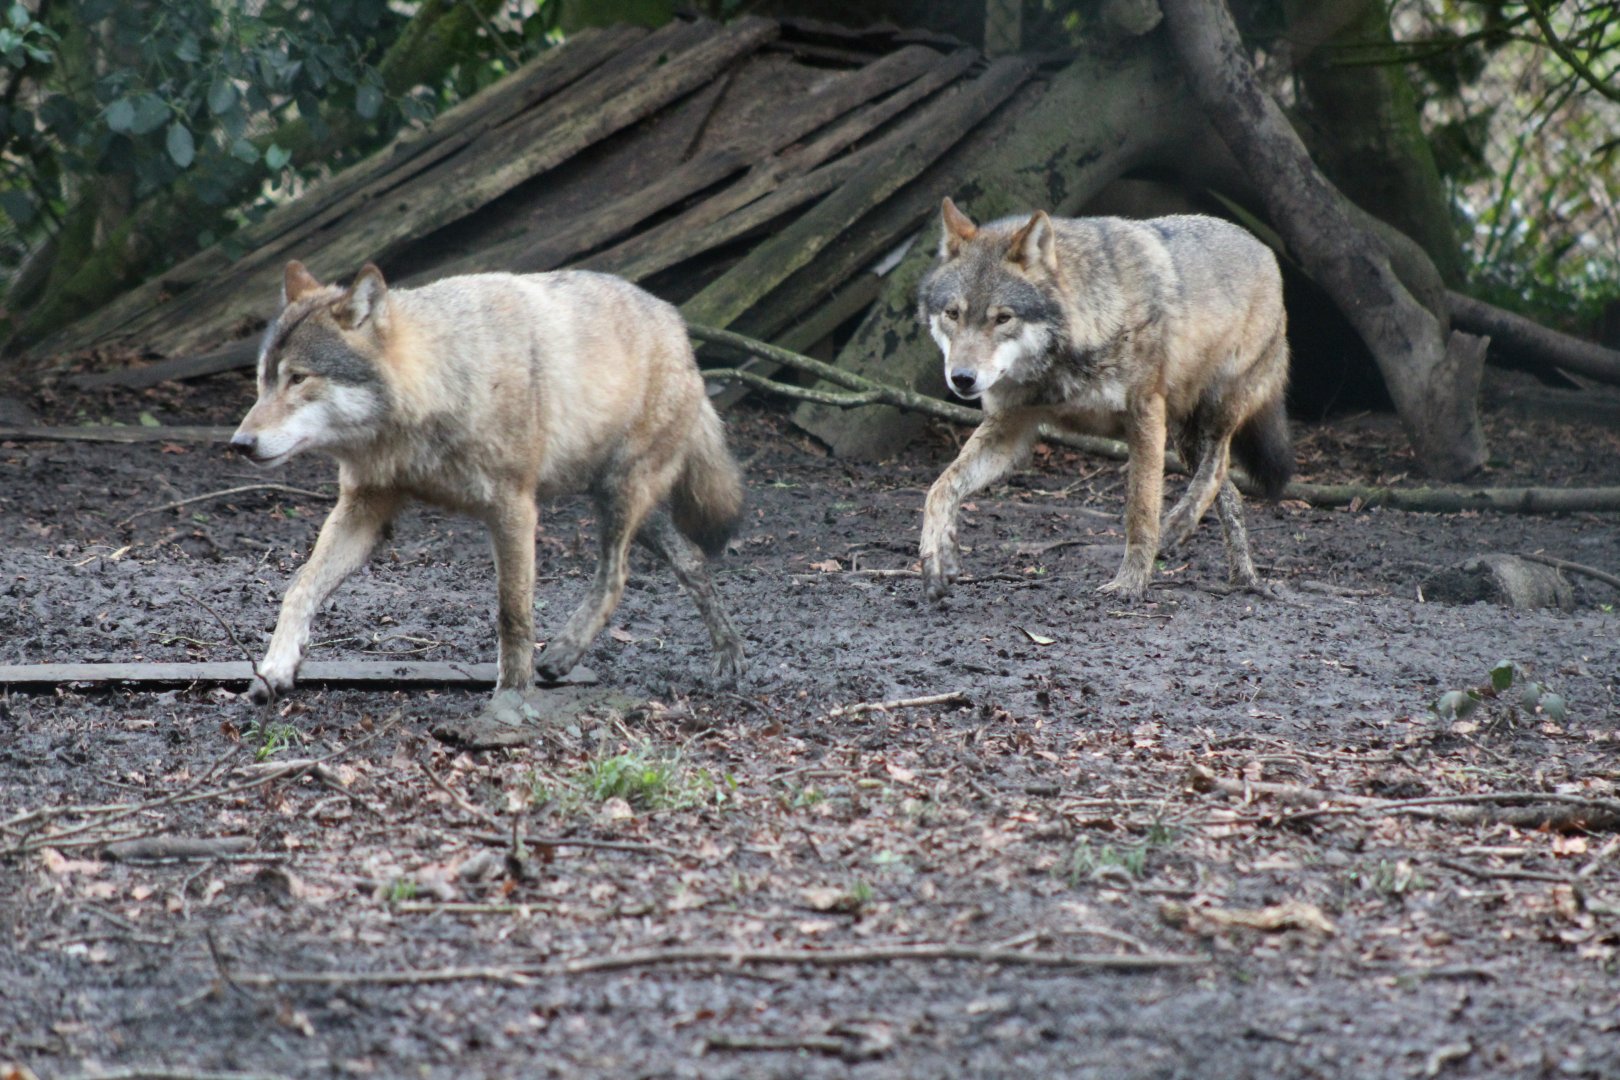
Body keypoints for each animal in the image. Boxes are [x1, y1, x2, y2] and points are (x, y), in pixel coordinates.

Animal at [230, 261, 746, 702]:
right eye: (263, 381)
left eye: (299, 379)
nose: (240, 443)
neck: (439, 386)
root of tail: (678, 327)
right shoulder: (365, 509)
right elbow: (299, 586)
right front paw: (276, 667)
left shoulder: (513, 510)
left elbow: (512, 615)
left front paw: (512, 697)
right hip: (623, 503)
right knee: (693, 560)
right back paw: (729, 659)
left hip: (621, 497)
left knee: (616, 575)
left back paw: (564, 654)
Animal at [916, 198, 1292, 599]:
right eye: (953, 314)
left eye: (1003, 318)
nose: (962, 378)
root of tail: (1264, 249)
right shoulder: (1008, 429)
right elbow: (939, 487)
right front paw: (938, 555)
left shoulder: (1144, 414)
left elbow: (1141, 511)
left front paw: (1131, 583)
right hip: (1185, 439)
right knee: (1231, 492)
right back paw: (1244, 578)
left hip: (1216, 411)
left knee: (1219, 466)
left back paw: (1182, 524)